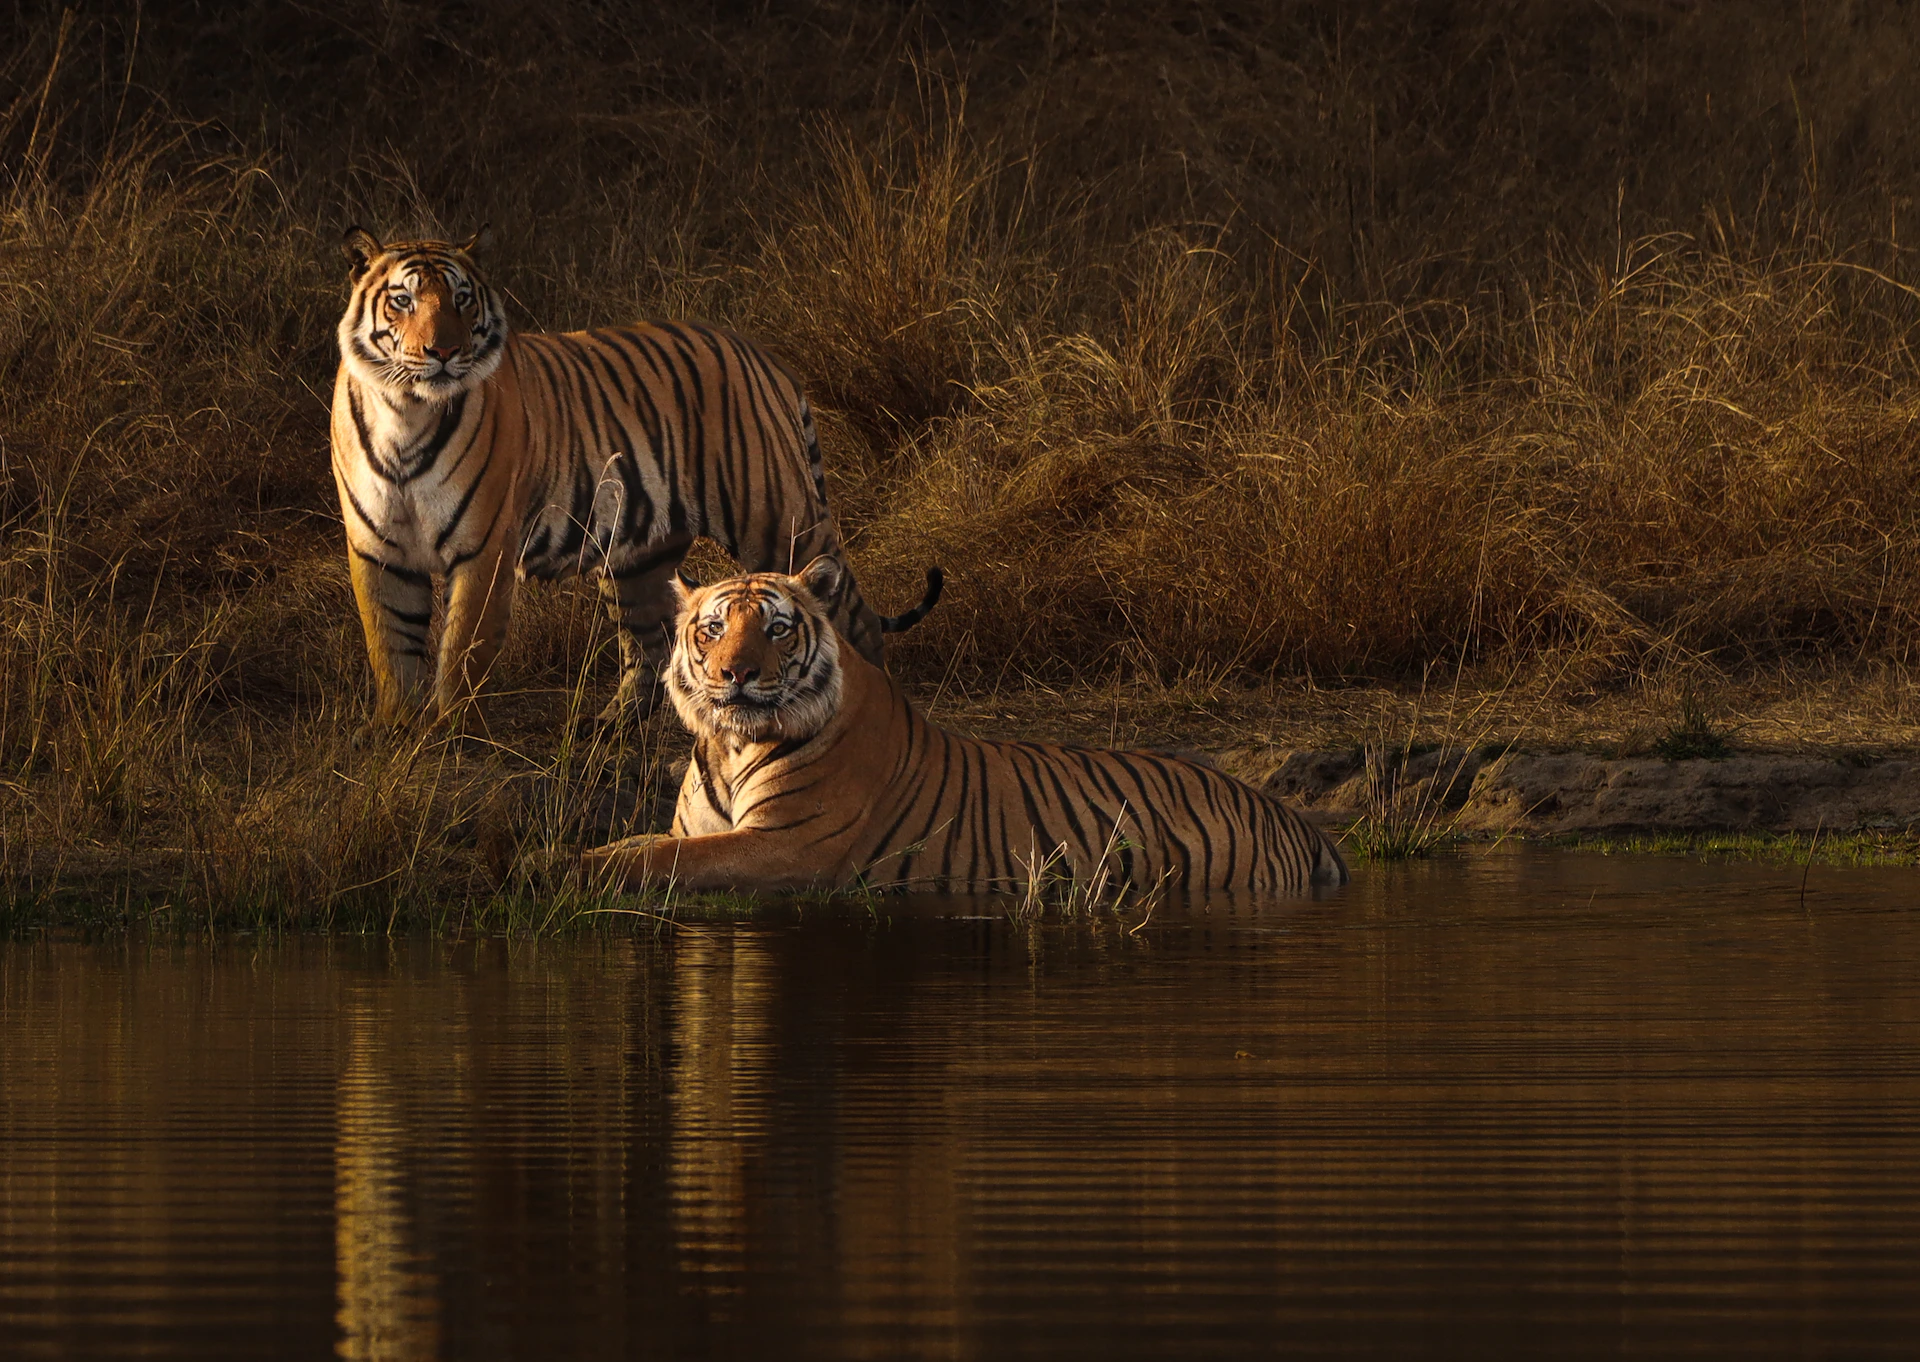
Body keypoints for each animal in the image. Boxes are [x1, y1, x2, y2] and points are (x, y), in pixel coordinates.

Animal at [330, 226, 938, 733]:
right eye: (403, 300)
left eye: (462, 299)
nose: (443, 352)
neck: (406, 413)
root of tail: (763, 355)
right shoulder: (377, 548)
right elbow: (389, 643)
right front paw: (396, 730)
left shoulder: (483, 549)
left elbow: (462, 648)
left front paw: (449, 729)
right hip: (638, 556)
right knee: (651, 644)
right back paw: (611, 725)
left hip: (780, 521)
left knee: (852, 619)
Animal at [579, 560, 1350, 896]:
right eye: (712, 629)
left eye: (775, 628)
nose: (734, 674)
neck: (731, 743)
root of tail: (1292, 816)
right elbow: (643, 845)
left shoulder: (787, 847)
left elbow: (657, 861)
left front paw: (559, 866)